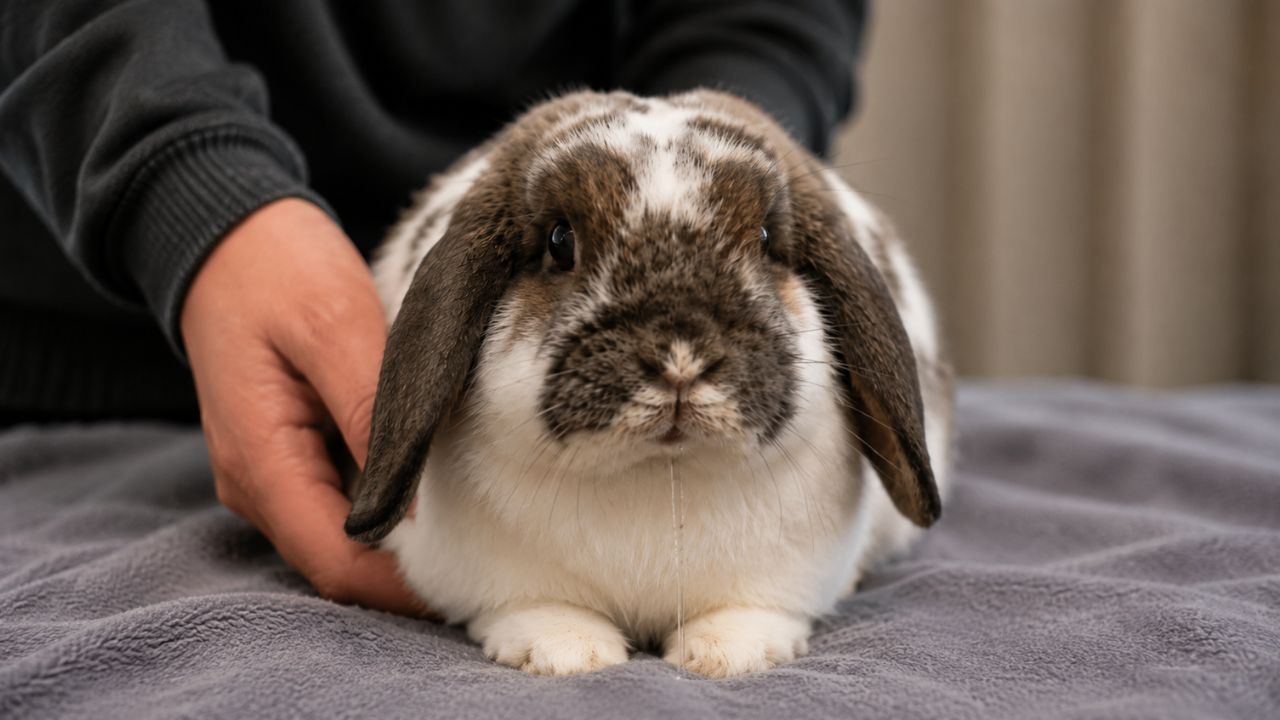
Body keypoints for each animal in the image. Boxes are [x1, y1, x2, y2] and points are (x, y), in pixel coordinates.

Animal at [345, 89, 954, 678]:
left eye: (763, 237)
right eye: (560, 241)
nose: (680, 357)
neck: (663, 475)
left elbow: (748, 613)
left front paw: (725, 654)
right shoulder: (507, 585)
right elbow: (537, 609)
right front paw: (567, 651)